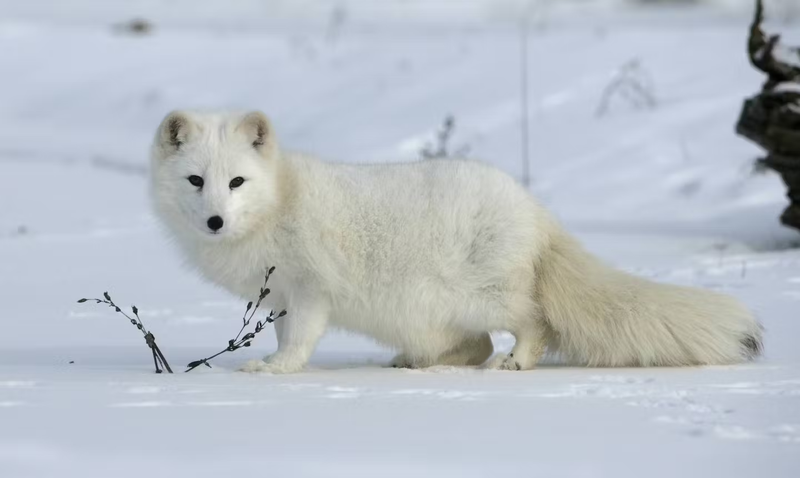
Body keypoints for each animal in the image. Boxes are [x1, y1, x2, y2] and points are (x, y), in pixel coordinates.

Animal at [148, 111, 764, 374]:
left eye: (237, 182)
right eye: (196, 181)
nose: (215, 222)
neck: (280, 202)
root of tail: (536, 211)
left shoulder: (311, 291)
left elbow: (299, 342)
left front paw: (276, 372)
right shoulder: (279, 298)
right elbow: (283, 335)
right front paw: (274, 363)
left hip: (483, 295)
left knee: (530, 324)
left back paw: (516, 362)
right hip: (429, 311)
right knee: (475, 345)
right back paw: (419, 364)